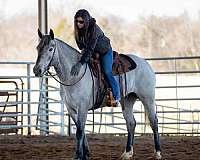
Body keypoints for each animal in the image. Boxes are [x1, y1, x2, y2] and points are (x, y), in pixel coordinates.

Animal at [32, 29, 161, 159]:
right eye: (38, 47)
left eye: (50, 49)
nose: (37, 70)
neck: (73, 76)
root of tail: (145, 63)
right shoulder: (71, 108)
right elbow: (81, 130)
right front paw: (85, 154)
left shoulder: (82, 107)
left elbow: (79, 131)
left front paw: (78, 155)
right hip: (128, 99)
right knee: (131, 123)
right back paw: (127, 153)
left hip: (148, 98)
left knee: (153, 122)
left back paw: (158, 153)